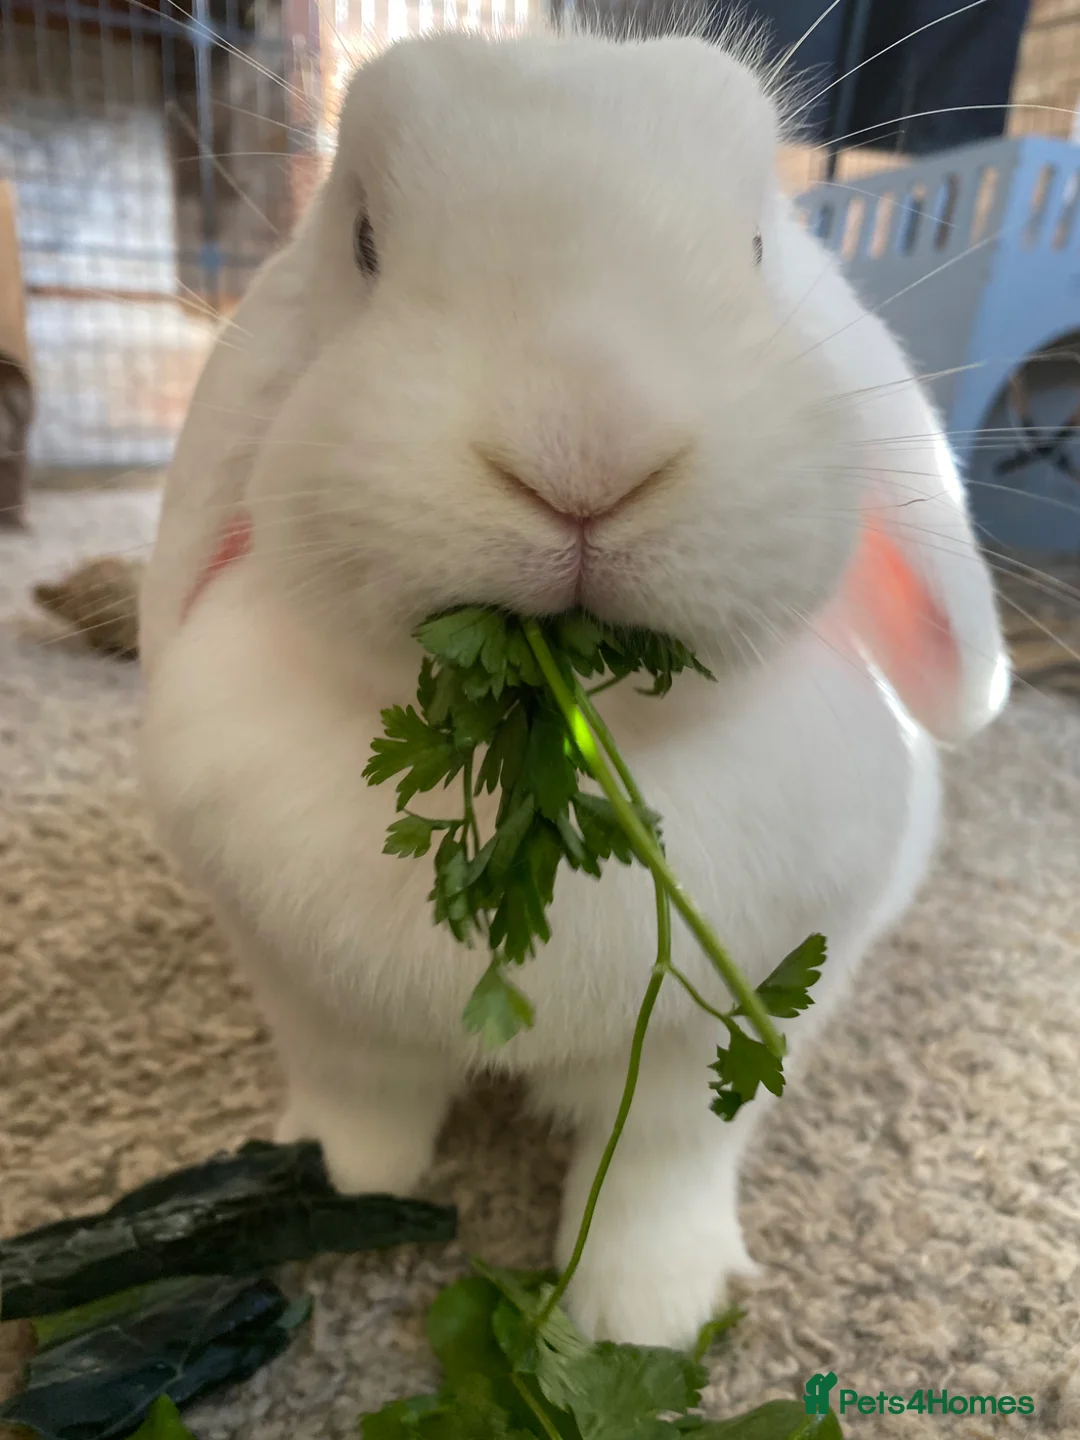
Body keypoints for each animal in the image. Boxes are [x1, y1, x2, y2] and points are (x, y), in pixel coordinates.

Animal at [137, 22, 1010, 1351]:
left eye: (759, 247)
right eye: (364, 243)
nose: (585, 448)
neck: (570, 777)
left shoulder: (715, 1041)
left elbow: (659, 1164)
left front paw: (643, 1321)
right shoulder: (314, 1004)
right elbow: (358, 1107)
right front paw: (332, 1188)